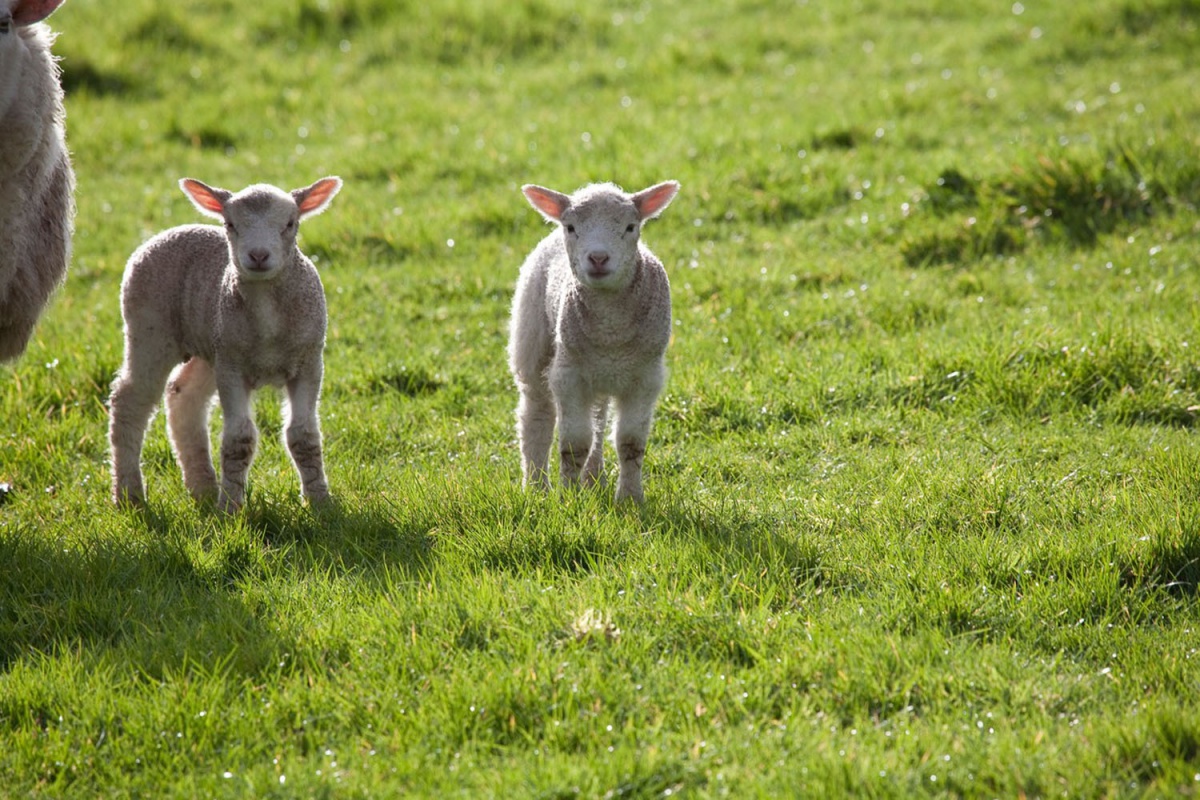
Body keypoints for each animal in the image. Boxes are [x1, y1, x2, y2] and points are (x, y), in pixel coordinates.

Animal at [109, 176, 343, 513]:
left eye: (290, 223)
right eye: (230, 224)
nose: (258, 256)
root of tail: (170, 231)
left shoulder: (309, 362)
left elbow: (304, 437)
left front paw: (320, 502)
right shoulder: (232, 369)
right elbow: (239, 441)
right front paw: (231, 508)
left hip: (210, 344)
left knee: (183, 395)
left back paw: (203, 488)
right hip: (149, 330)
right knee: (130, 401)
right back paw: (129, 495)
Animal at [504, 181, 676, 503]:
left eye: (631, 227)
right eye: (571, 227)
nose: (598, 258)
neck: (611, 332)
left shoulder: (645, 377)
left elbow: (630, 443)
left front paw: (630, 499)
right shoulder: (568, 375)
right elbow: (574, 445)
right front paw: (568, 498)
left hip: (601, 376)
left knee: (597, 419)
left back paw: (594, 480)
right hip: (532, 341)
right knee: (537, 415)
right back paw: (537, 488)